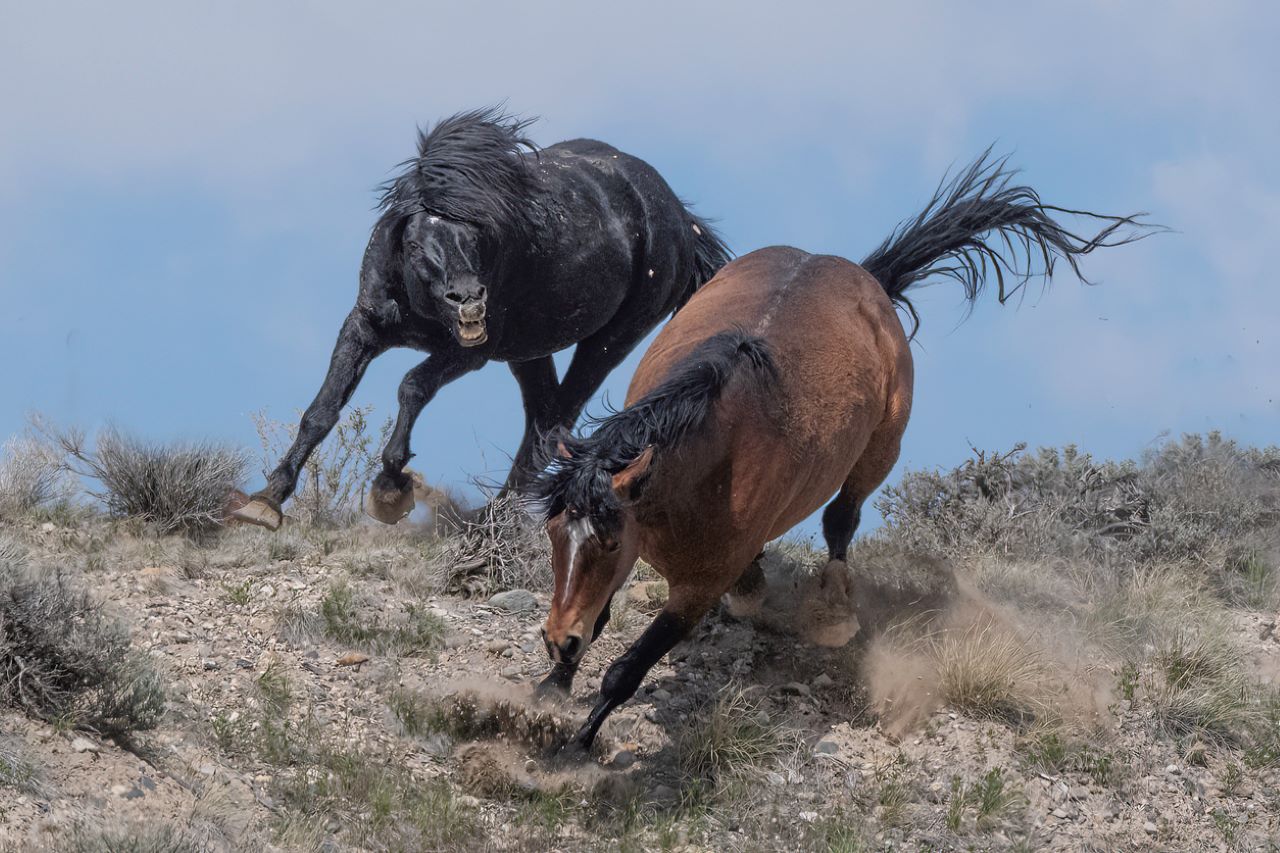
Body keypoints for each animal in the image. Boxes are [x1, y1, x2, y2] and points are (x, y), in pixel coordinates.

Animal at [232, 108, 732, 527]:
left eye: (475, 232)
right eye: (414, 243)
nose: (470, 302)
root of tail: (679, 219)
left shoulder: (470, 353)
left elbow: (412, 386)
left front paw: (391, 489)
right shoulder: (362, 328)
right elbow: (322, 410)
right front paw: (267, 500)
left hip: (610, 340)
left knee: (553, 425)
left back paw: (487, 521)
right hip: (531, 351)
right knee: (543, 419)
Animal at [524, 153, 1157, 753]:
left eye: (606, 541)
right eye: (554, 534)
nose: (558, 638)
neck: (710, 458)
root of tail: (865, 277)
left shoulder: (695, 588)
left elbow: (627, 670)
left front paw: (576, 744)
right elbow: (599, 616)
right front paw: (552, 688)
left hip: (879, 451)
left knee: (841, 522)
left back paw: (829, 610)